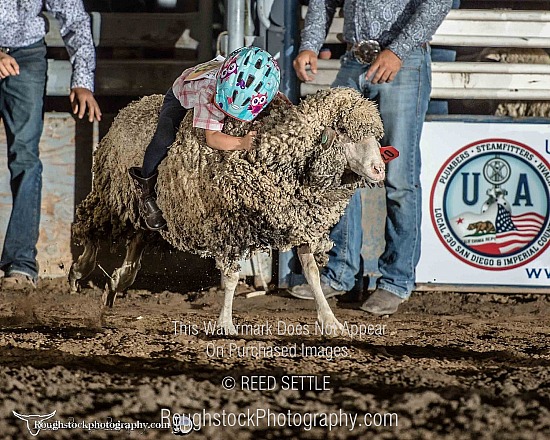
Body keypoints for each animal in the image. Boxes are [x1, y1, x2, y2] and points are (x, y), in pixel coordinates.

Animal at [69, 87, 386, 336]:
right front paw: (225, 324)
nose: (379, 169)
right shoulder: (227, 227)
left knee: (137, 239)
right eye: (344, 132)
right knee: (89, 229)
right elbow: (232, 277)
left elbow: (312, 273)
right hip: (111, 198)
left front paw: (330, 322)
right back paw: (79, 270)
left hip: (144, 214)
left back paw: (117, 282)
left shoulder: (298, 220)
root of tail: (132, 105)